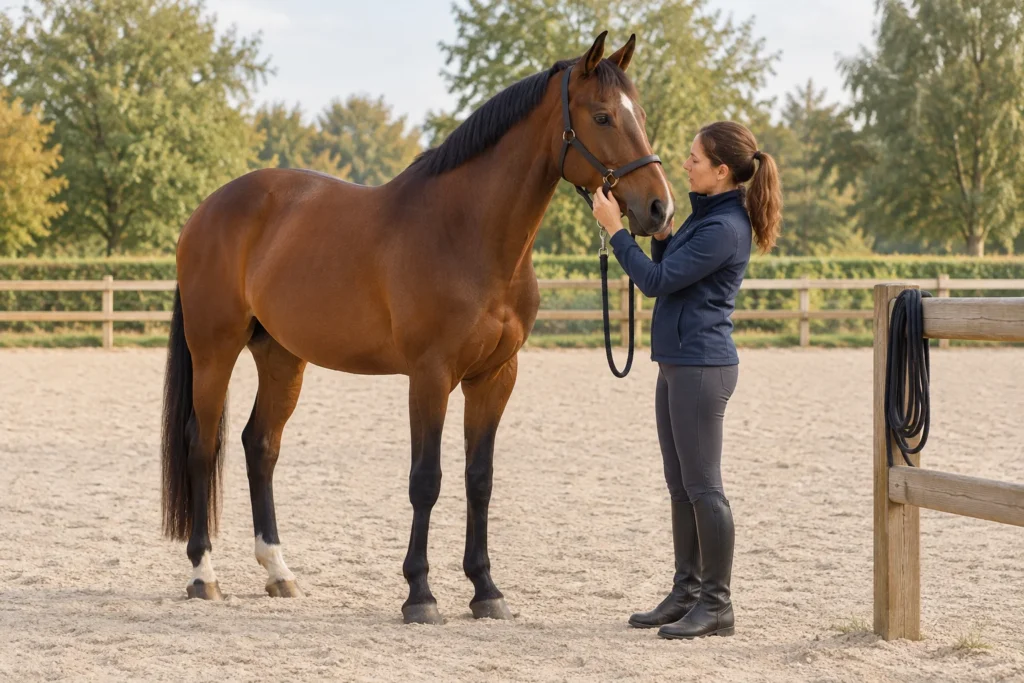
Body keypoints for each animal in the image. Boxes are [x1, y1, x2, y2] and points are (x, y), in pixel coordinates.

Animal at [160, 30, 675, 624]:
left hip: (282, 357)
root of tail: (206, 211)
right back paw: (203, 575)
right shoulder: (430, 376)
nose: (660, 208)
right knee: (202, 445)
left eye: (640, 114)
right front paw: (420, 594)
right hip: (214, 351)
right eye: (602, 116)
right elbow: (426, 480)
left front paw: (486, 590)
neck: (468, 233)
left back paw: (278, 571)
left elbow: (480, 479)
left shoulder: (496, 377)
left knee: (260, 445)